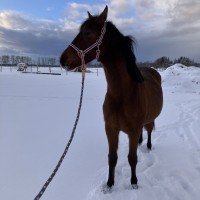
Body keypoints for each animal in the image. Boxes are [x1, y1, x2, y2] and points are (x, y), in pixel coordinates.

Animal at [59, 6, 162, 190]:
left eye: (87, 33)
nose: (62, 60)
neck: (123, 95)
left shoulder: (132, 131)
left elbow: (132, 158)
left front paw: (134, 182)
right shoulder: (110, 129)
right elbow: (112, 158)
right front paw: (109, 184)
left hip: (149, 119)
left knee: (149, 130)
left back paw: (149, 146)